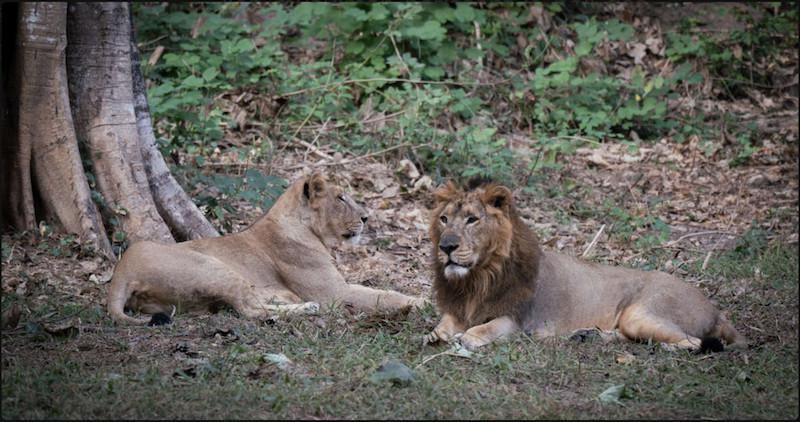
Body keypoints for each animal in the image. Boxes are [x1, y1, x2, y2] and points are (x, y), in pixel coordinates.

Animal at [109, 170, 428, 324]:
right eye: (340, 198)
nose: (366, 217)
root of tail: (123, 270)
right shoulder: (333, 293)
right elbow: (382, 295)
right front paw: (420, 303)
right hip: (213, 266)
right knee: (249, 310)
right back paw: (307, 308)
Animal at [422, 180, 748, 352]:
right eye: (444, 219)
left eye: (472, 220)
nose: (446, 247)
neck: (477, 277)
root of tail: (717, 311)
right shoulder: (460, 309)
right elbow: (444, 323)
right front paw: (435, 335)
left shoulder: (517, 319)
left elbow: (487, 328)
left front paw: (468, 337)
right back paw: (587, 335)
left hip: (642, 312)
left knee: (692, 342)